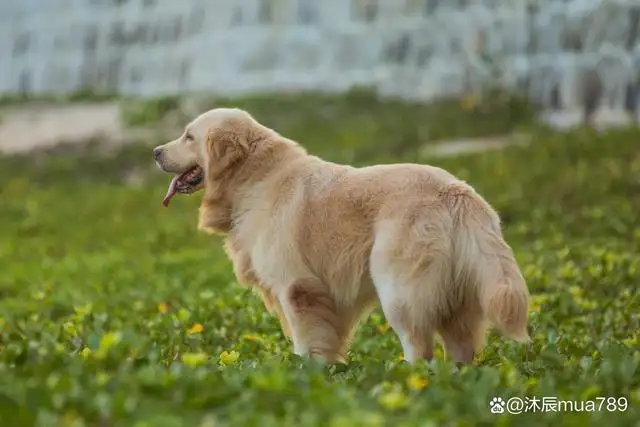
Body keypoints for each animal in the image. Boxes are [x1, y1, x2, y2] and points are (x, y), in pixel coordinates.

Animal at [154, 108, 528, 366]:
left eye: (188, 136)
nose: (156, 151)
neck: (253, 175)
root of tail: (457, 192)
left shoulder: (296, 287)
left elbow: (306, 340)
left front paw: (307, 372)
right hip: (458, 292)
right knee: (460, 348)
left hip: (399, 287)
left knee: (418, 344)